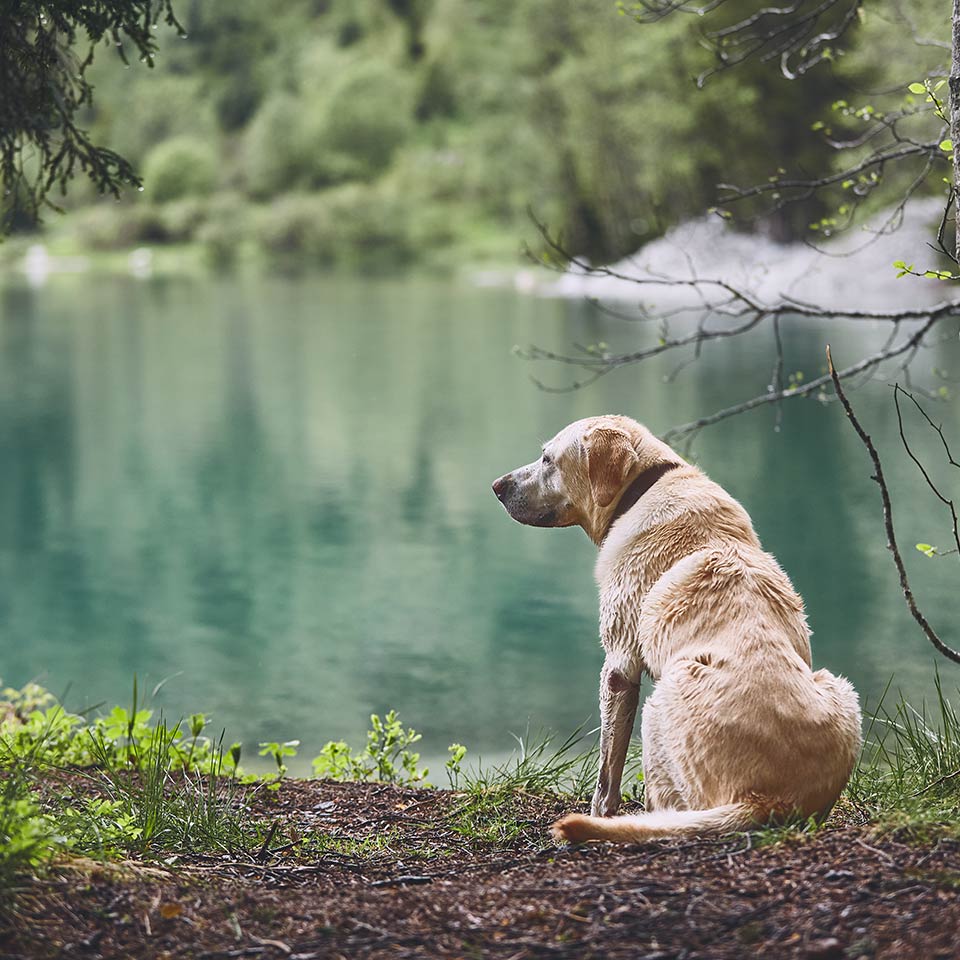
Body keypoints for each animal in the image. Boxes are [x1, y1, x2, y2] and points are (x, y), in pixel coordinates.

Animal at [492, 412, 860, 840]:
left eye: (548, 459)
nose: (497, 487)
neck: (642, 489)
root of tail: (767, 800)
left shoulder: (618, 666)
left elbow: (607, 770)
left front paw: (601, 812)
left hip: (659, 702)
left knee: (667, 803)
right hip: (841, 689)